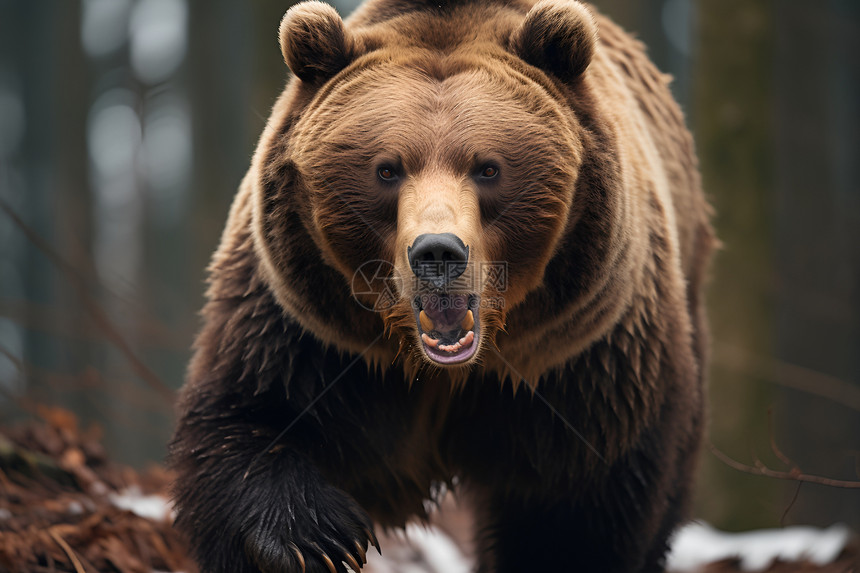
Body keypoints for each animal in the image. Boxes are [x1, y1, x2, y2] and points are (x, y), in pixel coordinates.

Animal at [168, 1, 712, 572]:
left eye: (488, 168)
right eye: (386, 170)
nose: (437, 253)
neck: (446, 373)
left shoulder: (580, 357)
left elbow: (580, 505)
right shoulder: (309, 331)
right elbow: (249, 415)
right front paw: (312, 538)